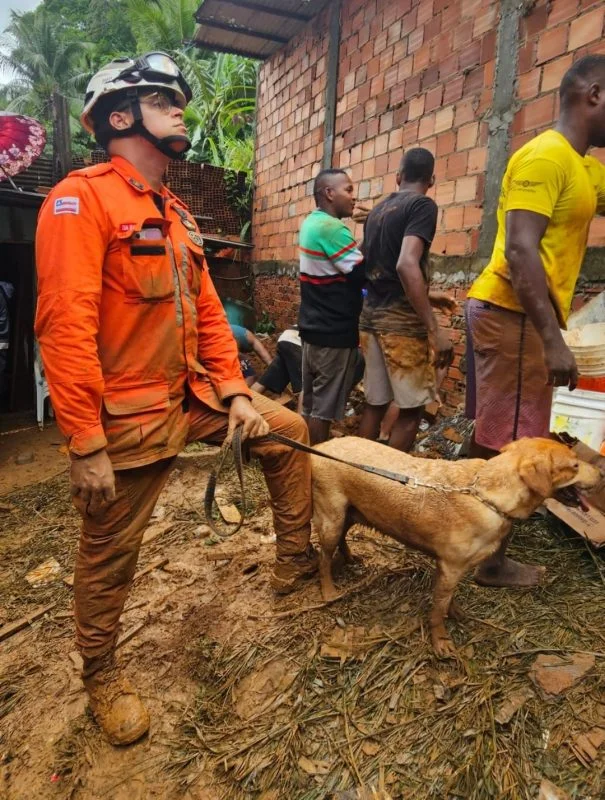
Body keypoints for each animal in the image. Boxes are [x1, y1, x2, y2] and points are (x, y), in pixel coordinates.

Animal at [312, 438, 600, 656]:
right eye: (574, 464)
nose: (601, 473)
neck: (488, 496)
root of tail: (322, 445)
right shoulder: (450, 567)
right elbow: (437, 611)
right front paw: (440, 642)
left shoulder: (453, 569)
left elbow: (449, 599)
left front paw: (456, 612)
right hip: (332, 519)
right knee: (323, 559)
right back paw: (329, 591)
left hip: (350, 514)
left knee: (341, 541)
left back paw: (350, 558)